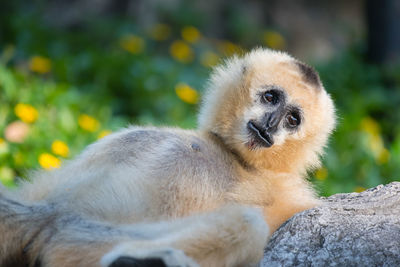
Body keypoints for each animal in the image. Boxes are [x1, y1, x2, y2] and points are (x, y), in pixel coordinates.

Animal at [0, 48, 334, 267]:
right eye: (270, 97)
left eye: (292, 119)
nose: (270, 125)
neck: (235, 156)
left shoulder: (292, 195)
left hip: (79, 238)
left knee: (247, 224)